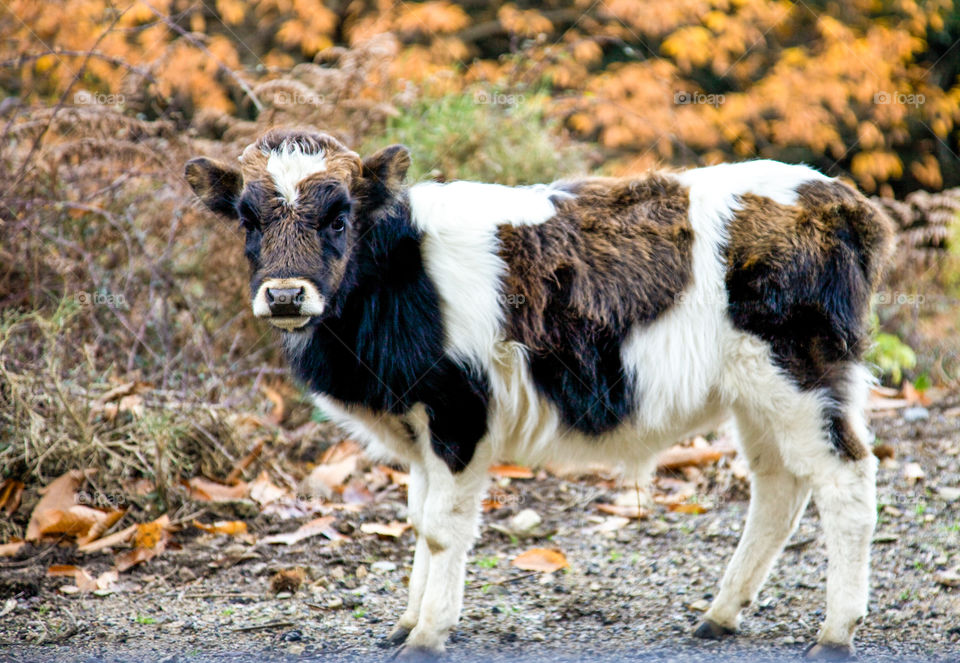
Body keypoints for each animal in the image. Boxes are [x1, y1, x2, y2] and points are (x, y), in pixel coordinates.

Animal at [186, 128, 895, 660]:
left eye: (339, 216)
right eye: (247, 219)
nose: (285, 295)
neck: (401, 275)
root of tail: (838, 198)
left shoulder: (459, 412)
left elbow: (442, 528)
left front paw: (428, 635)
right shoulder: (418, 426)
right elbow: (418, 518)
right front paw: (407, 622)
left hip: (803, 374)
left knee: (846, 481)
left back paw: (835, 633)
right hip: (758, 396)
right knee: (779, 487)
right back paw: (720, 615)